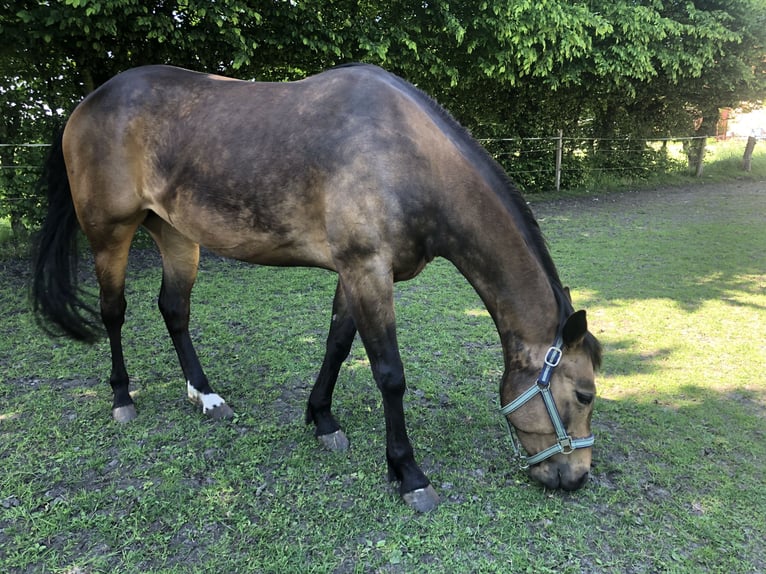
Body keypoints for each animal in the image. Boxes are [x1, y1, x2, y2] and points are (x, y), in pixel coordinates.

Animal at [33, 63, 604, 512]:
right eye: (584, 394)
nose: (577, 479)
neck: (406, 157)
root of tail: (86, 105)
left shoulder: (357, 274)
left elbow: (337, 345)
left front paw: (322, 419)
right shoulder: (365, 270)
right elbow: (389, 374)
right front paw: (408, 474)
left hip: (175, 234)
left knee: (174, 310)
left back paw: (207, 395)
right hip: (110, 233)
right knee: (114, 312)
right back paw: (122, 397)